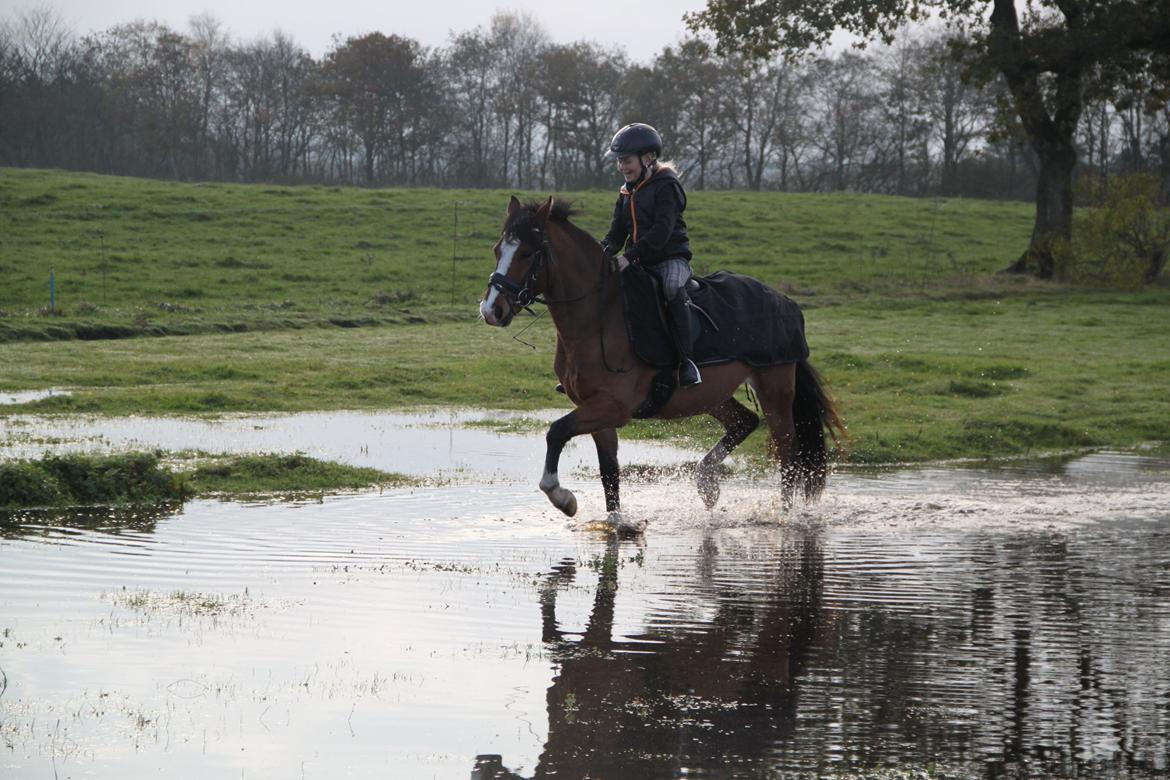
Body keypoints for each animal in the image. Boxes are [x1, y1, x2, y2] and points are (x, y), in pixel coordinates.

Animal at [480, 196, 845, 533]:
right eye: (498, 249)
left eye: (527, 253)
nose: (491, 310)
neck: (598, 319)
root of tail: (786, 302)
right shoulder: (595, 409)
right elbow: (608, 469)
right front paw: (617, 522)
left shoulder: (613, 406)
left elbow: (556, 432)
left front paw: (563, 498)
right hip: (710, 395)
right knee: (744, 422)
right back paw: (707, 482)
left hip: (774, 387)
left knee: (787, 452)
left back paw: (784, 515)